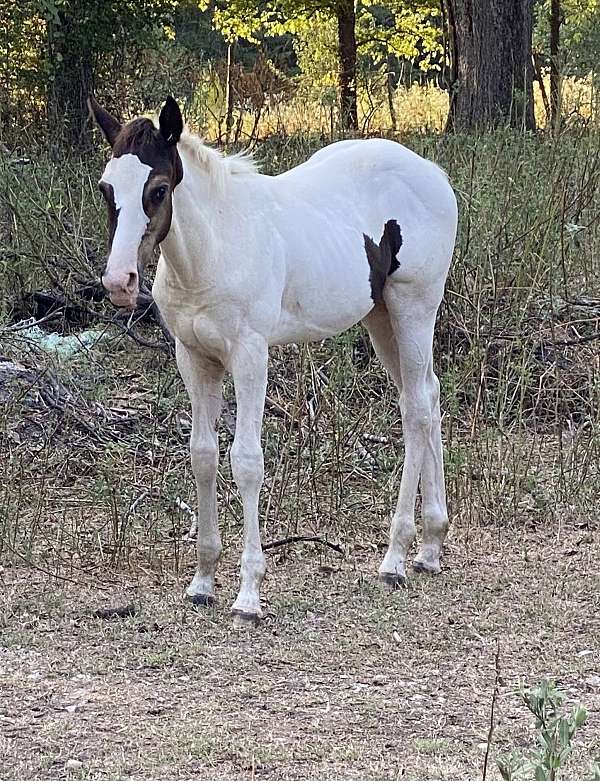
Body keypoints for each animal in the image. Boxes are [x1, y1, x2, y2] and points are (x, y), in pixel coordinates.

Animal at [89, 96, 458, 628]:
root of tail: (433, 174)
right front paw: (202, 582)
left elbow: (246, 461)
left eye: (158, 188)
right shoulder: (194, 358)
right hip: (381, 317)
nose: (119, 282)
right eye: (106, 188)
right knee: (428, 397)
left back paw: (395, 558)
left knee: (416, 412)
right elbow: (203, 455)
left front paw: (248, 594)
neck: (214, 248)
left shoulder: (249, 355)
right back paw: (430, 545)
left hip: (414, 308)